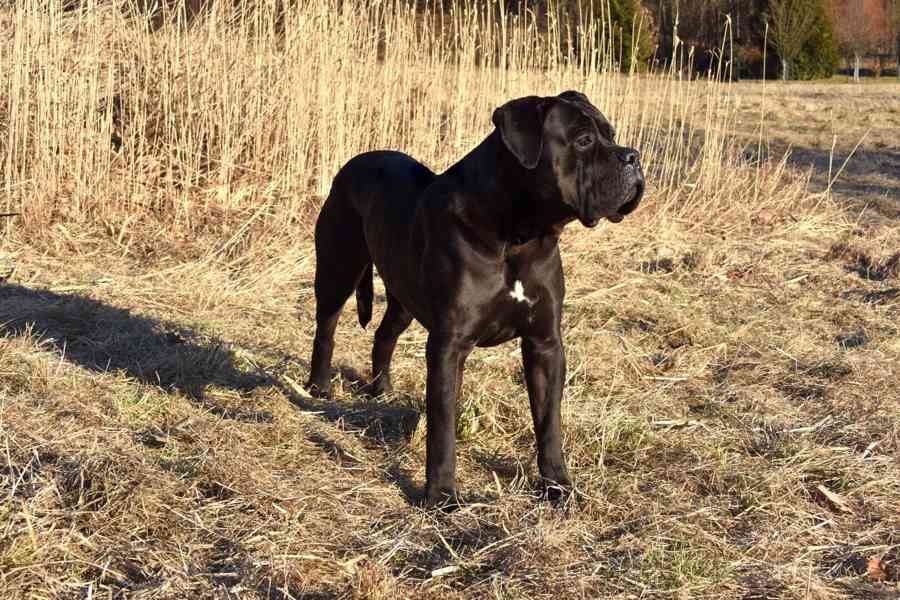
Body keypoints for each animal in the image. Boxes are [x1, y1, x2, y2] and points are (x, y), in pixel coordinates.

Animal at [306, 90, 644, 506]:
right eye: (583, 141)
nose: (633, 157)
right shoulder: (449, 345)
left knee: (384, 335)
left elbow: (548, 421)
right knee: (326, 328)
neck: (519, 235)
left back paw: (381, 391)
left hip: (404, 296)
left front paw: (558, 484)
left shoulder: (545, 343)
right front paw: (441, 495)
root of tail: (355, 163)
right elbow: (442, 427)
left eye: (611, 134)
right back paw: (318, 388)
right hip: (338, 269)